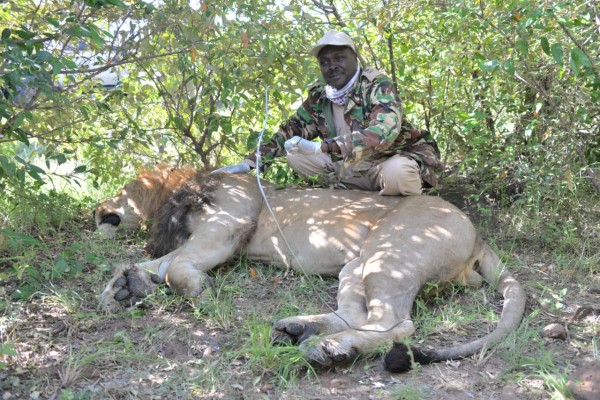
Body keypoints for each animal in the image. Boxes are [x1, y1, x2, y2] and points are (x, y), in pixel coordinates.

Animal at [97, 165, 524, 372]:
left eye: (125, 189)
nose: (98, 210)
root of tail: (478, 234)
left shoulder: (225, 227)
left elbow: (177, 266)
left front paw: (186, 288)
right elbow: (158, 263)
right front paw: (123, 286)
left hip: (390, 252)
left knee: (396, 324)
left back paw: (328, 349)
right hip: (357, 264)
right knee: (356, 314)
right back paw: (299, 330)